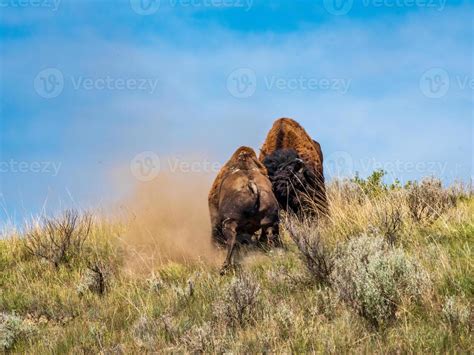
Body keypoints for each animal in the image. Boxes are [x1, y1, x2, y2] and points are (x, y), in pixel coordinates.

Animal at [208, 146, 282, 274]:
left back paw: (224, 267)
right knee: (269, 238)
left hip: (229, 223)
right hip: (270, 222)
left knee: (231, 242)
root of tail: (252, 185)